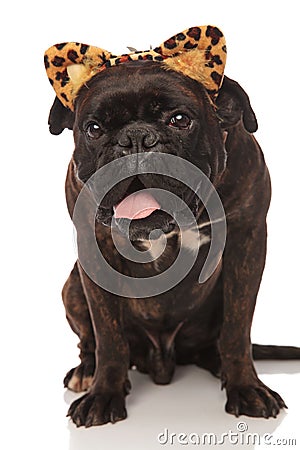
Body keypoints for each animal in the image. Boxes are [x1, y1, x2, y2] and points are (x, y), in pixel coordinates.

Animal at [47, 54, 300, 428]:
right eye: (93, 128)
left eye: (180, 120)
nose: (136, 138)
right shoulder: (94, 251)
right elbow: (108, 336)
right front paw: (104, 393)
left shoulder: (248, 241)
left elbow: (238, 328)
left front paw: (245, 386)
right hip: (73, 286)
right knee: (91, 341)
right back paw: (87, 371)